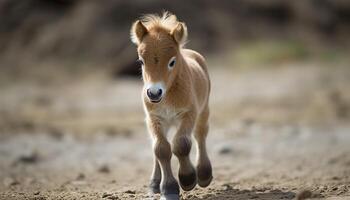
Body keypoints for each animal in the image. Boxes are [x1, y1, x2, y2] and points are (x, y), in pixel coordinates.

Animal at [131, 12, 212, 200]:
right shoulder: (154, 118)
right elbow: (161, 149)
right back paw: (154, 185)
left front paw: (188, 179)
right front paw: (168, 189)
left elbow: (181, 144)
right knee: (156, 146)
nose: (154, 93)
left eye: (172, 62)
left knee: (200, 134)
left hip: (203, 110)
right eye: (141, 61)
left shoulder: (188, 113)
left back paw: (204, 174)